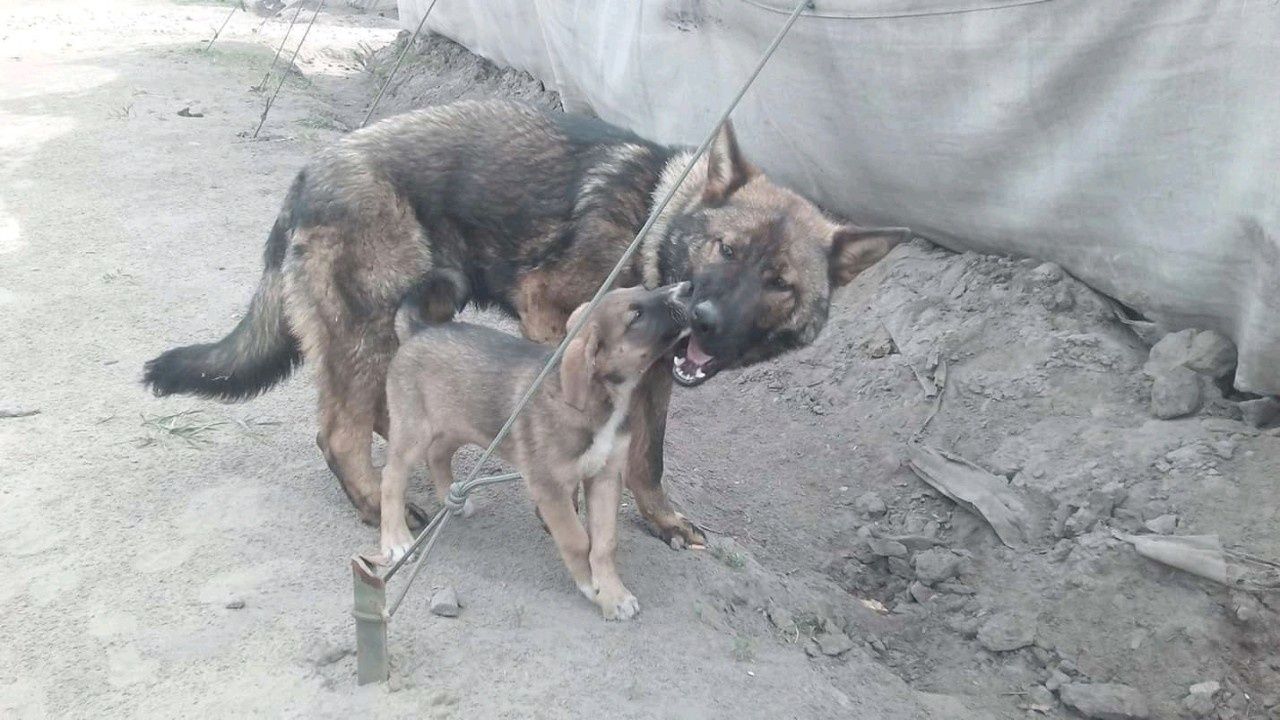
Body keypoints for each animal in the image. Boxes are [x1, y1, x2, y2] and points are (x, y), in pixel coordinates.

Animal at [378, 280, 691, 617]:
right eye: (636, 316)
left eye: (645, 288)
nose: (687, 287)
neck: (602, 400)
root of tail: (419, 330)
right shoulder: (549, 486)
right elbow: (577, 539)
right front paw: (589, 586)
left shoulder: (605, 477)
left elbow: (605, 544)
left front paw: (613, 593)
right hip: (414, 432)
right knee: (391, 479)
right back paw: (396, 540)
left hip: (460, 423)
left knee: (438, 454)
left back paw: (454, 499)